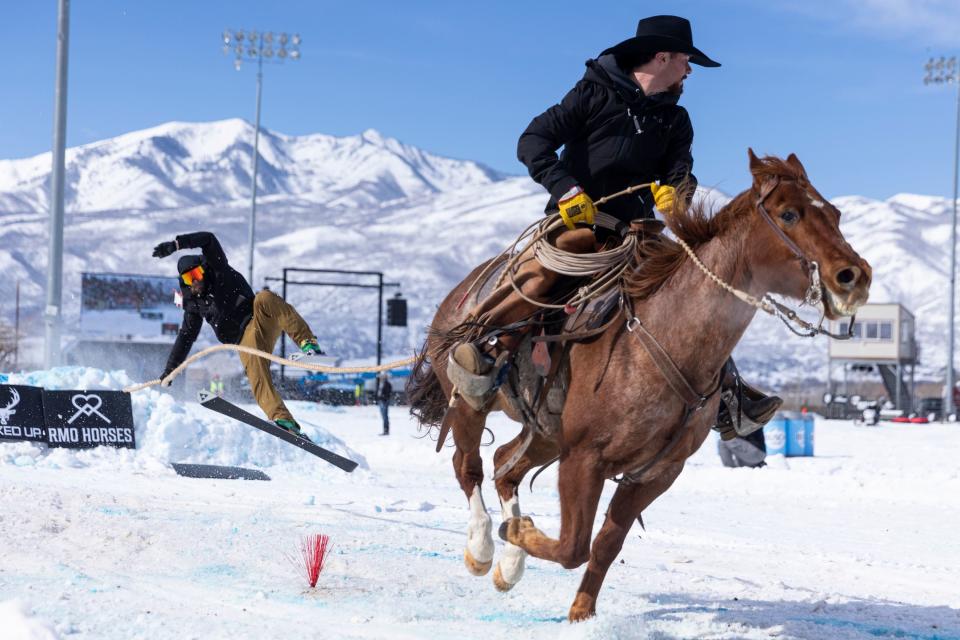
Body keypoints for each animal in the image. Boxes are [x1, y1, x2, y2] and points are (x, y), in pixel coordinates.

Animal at [404, 150, 872, 620]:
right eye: (789, 214)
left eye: (834, 213)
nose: (855, 276)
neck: (661, 339)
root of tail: (460, 295)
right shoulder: (584, 458)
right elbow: (573, 546)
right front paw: (516, 533)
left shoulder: (655, 473)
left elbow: (604, 545)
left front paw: (580, 613)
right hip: (471, 402)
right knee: (469, 467)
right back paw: (483, 548)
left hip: (547, 433)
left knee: (504, 463)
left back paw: (510, 564)